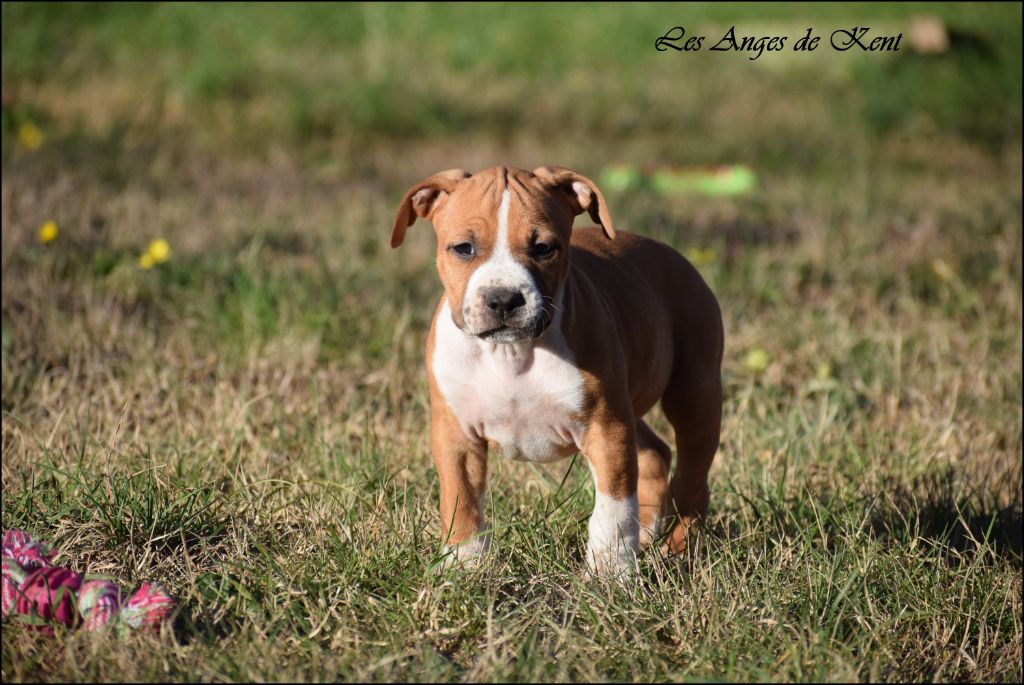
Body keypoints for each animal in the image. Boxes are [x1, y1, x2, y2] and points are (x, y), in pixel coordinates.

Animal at [387, 162, 724, 573]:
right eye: (463, 248)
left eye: (543, 248)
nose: (503, 299)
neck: (512, 354)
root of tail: (675, 256)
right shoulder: (456, 435)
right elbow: (460, 499)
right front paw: (465, 567)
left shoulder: (606, 427)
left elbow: (612, 506)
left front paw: (609, 573)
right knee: (655, 452)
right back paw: (645, 535)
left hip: (695, 391)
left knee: (693, 474)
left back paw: (679, 548)